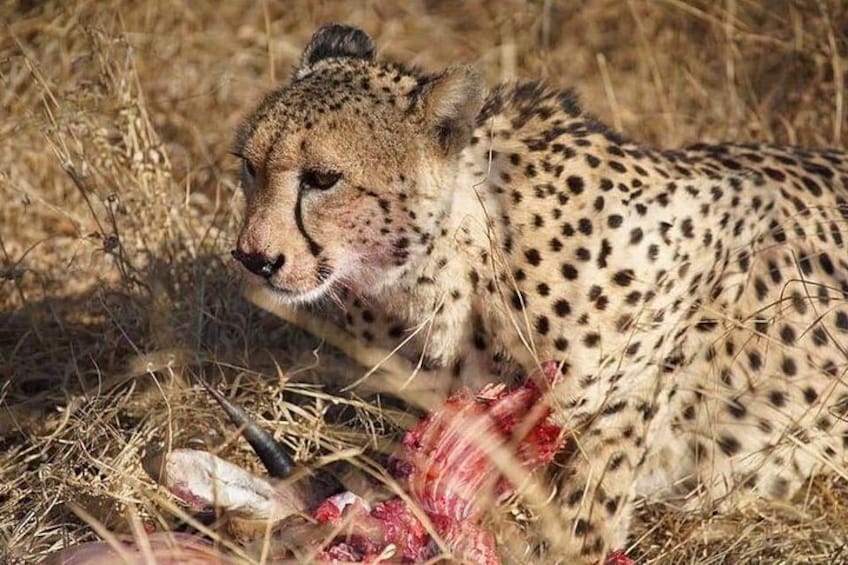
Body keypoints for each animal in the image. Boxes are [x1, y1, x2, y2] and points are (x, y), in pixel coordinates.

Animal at [232, 23, 848, 563]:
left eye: (323, 178)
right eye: (249, 166)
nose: (253, 258)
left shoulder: (731, 226)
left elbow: (609, 444)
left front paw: (578, 534)